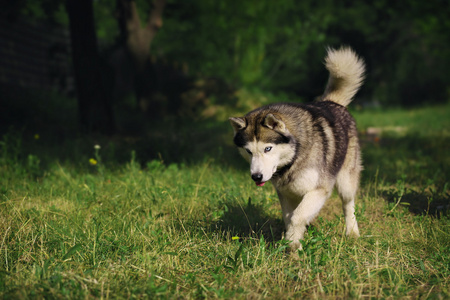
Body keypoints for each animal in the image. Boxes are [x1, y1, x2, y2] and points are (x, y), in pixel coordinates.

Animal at [230, 47, 364, 250]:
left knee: (348, 205)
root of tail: (331, 102)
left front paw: (293, 246)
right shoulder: (286, 194)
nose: (256, 176)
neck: (294, 158)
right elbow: (289, 218)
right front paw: (291, 242)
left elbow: (297, 217)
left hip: (345, 182)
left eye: (268, 149)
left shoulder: (319, 190)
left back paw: (352, 232)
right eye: (248, 151)